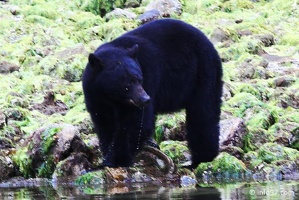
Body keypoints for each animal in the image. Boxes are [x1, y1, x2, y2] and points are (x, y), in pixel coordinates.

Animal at [82, 18, 223, 168]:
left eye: (139, 79)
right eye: (126, 84)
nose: (145, 98)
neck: (111, 96)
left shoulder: (149, 74)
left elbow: (136, 122)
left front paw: (115, 160)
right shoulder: (95, 95)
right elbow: (104, 123)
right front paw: (107, 154)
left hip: (203, 73)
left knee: (203, 114)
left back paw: (201, 159)